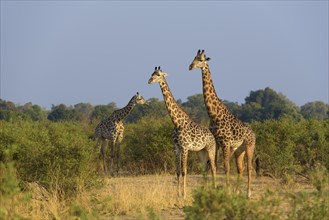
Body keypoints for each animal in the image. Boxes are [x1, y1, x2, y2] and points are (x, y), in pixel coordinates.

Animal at [148, 65, 215, 199]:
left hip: (211, 150)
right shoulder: (176, 148)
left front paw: (184, 195)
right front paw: (178, 194)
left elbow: (184, 171)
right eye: (152, 73)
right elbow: (178, 171)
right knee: (205, 169)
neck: (177, 122)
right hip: (201, 153)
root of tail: (213, 137)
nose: (149, 81)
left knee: (214, 169)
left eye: (158, 75)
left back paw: (215, 189)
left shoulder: (185, 147)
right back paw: (204, 190)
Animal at [188, 49, 255, 198]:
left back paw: (248, 193)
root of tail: (254, 134)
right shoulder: (217, 142)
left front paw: (226, 191)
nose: (190, 66)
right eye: (193, 58)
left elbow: (226, 167)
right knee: (241, 168)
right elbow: (214, 166)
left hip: (249, 146)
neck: (214, 114)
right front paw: (218, 190)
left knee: (249, 167)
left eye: (201, 60)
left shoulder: (225, 142)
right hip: (239, 150)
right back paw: (237, 192)